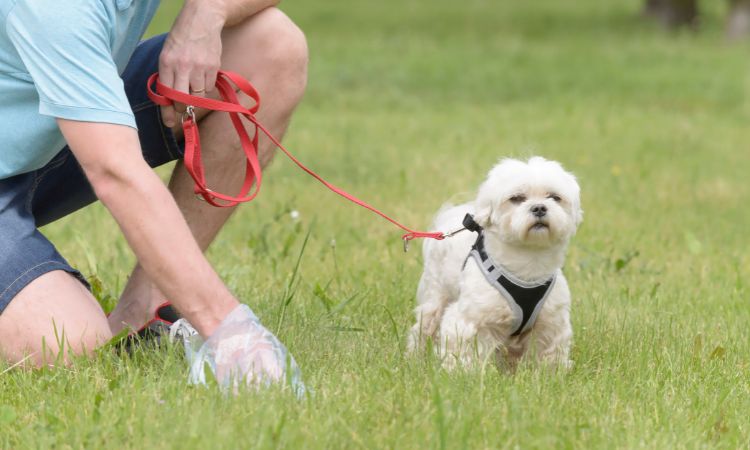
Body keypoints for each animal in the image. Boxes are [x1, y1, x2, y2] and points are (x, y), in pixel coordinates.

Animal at [408, 157, 584, 370]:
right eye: (516, 198)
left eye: (554, 197)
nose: (540, 207)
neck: (528, 262)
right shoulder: (472, 318)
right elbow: (465, 349)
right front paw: (462, 372)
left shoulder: (550, 322)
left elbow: (548, 353)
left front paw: (549, 373)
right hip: (437, 295)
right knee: (424, 326)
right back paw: (415, 358)